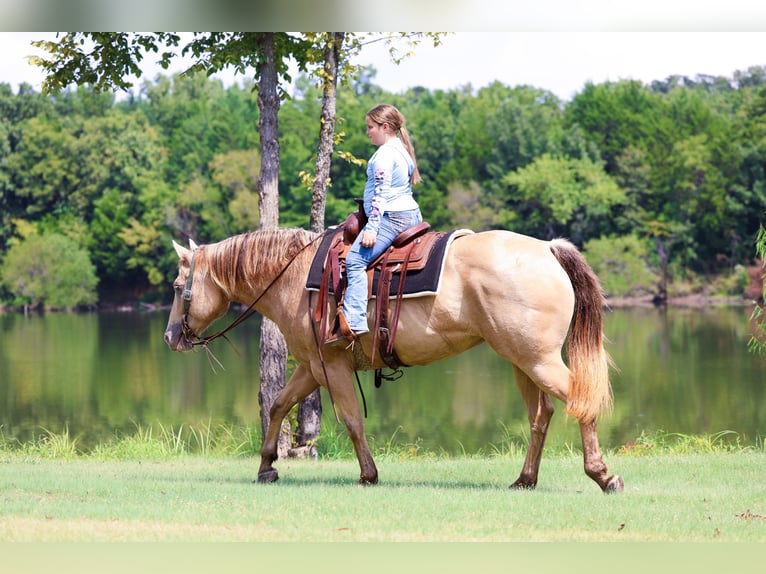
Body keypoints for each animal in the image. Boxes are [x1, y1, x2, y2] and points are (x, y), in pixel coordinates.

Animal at [164, 227, 624, 493]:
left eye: (177, 286)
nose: (170, 337)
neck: (294, 275)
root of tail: (547, 249)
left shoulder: (332, 367)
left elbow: (351, 421)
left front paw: (368, 474)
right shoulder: (311, 367)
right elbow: (278, 406)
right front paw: (266, 467)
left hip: (538, 360)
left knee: (579, 402)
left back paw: (603, 475)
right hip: (522, 361)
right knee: (540, 416)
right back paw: (525, 479)